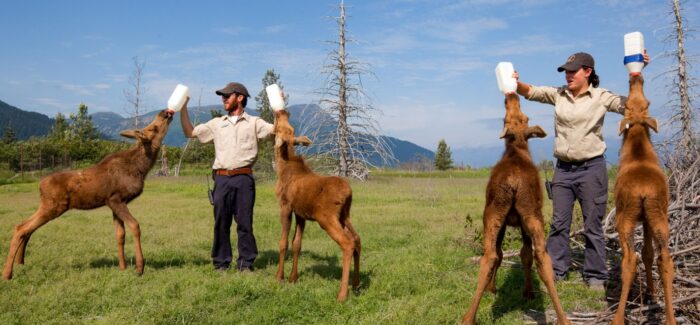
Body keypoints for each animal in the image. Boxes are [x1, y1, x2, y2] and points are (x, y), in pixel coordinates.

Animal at [3, 109, 173, 278]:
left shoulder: (114, 203)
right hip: (53, 207)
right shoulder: (115, 199)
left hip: (47, 206)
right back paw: (7, 273)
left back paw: (20, 263)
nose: (164, 112)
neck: (141, 168)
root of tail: (40, 186)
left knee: (23, 227)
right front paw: (139, 267)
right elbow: (135, 226)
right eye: (153, 128)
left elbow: (120, 235)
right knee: (22, 229)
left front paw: (123, 267)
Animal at [272, 109, 360, 302]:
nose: (283, 111)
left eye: (281, 127)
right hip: (345, 216)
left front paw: (279, 277)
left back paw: (342, 294)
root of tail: (349, 193)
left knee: (347, 243)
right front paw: (293, 278)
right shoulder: (301, 214)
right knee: (357, 239)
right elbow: (297, 244)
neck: (282, 167)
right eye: (289, 127)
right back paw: (356, 285)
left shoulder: (285, 206)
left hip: (326, 218)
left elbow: (283, 243)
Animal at [462, 93, 572, 324]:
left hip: (494, 214)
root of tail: (513, 181)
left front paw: (493, 288)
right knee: (541, 255)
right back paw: (563, 317)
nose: (512, 95)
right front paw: (527, 292)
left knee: (490, 256)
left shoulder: (508, 223)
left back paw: (468, 316)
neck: (518, 149)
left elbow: (509, 254)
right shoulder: (517, 222)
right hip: (531, 215)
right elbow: (523, 254)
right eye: (522, 117)